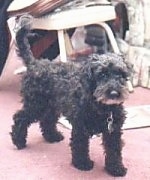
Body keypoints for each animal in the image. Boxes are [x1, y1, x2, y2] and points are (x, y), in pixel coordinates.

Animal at [10, 15, 131, 176]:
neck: (101, 107)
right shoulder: (80, 126)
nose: (114, 93)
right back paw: (18, 141)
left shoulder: (113, 131)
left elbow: (114, 151)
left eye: (120, 74)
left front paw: (116, 168)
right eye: (102, 74)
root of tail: (35, 63)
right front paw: (82, 163)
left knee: (47, 120)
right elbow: (79, 146)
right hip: (36, 105)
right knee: (20, 118)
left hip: (51, 105)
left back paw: (52, 136)